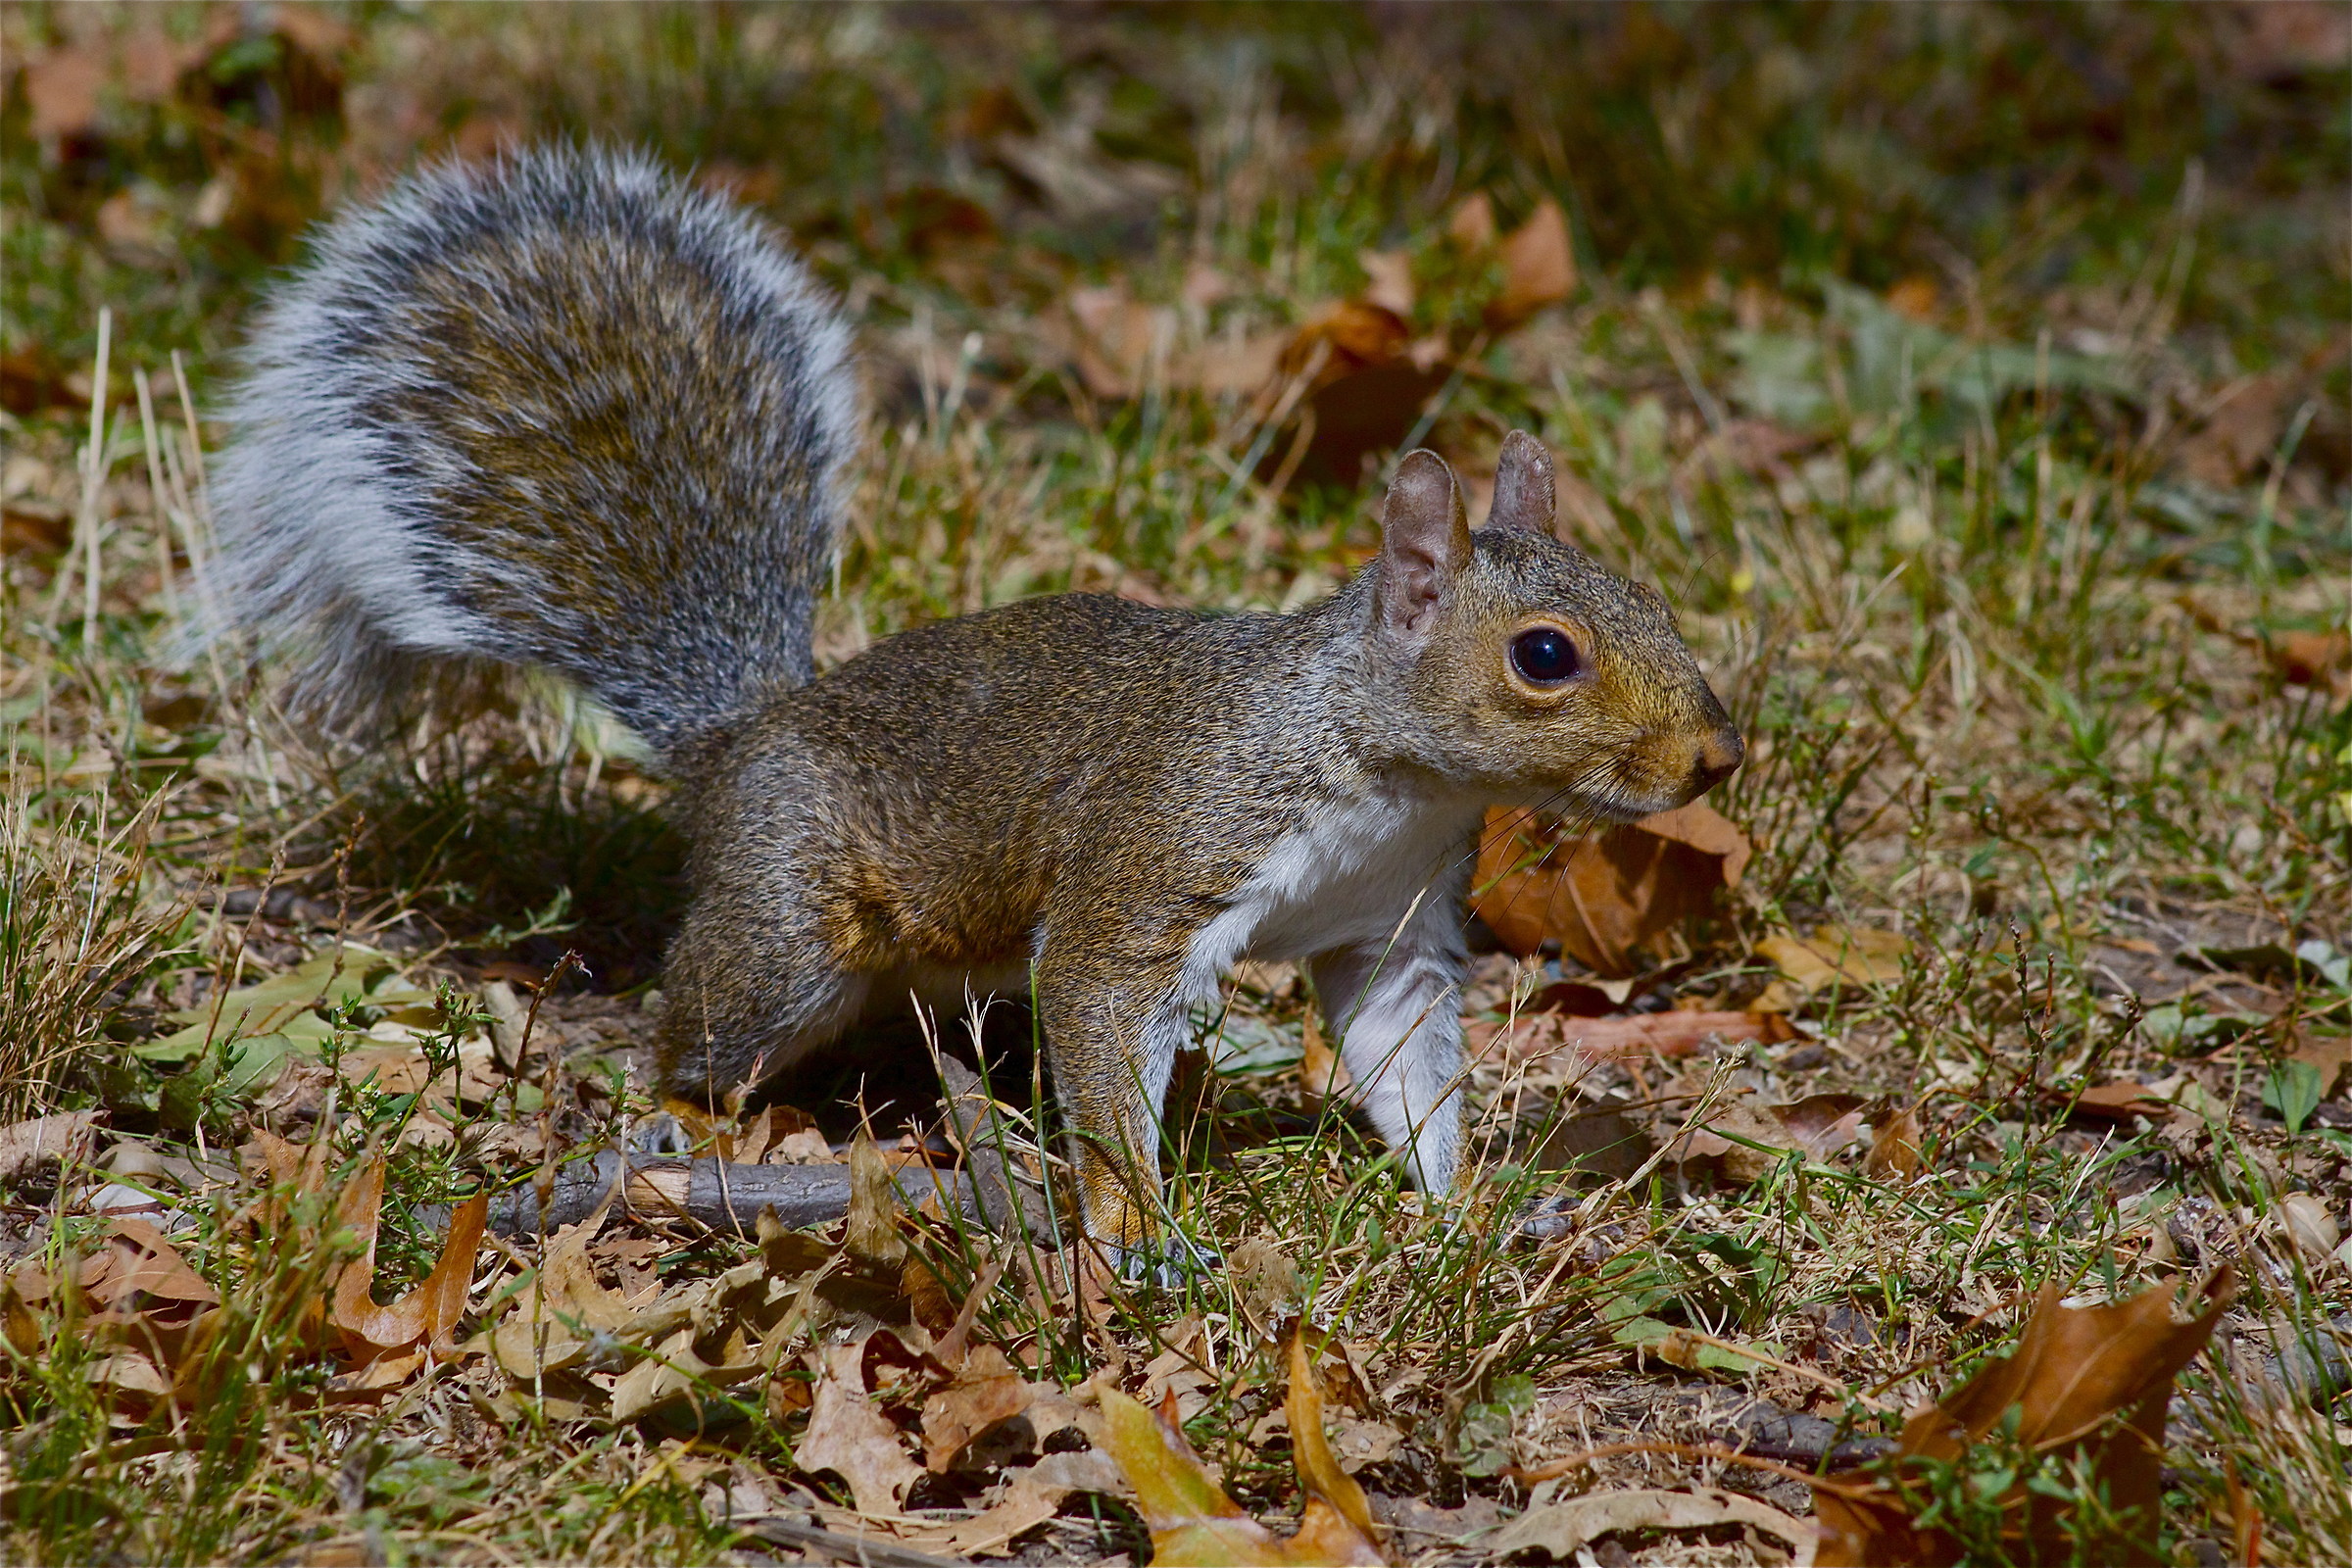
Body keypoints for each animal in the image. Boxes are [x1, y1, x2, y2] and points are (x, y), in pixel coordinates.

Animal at [204, 145, 1744, 1269]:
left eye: (1653, 600)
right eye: (1544, 656)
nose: (1716, 758)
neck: (1387, 769)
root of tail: (738, 741)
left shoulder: (1390, 929)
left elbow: (1404, 1065)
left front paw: (1467, 1203)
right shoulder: (1163, 854)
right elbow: (1105, 1021)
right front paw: (1142, 1229)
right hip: (788, 924)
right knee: (703, 1027)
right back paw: (692, 1129)